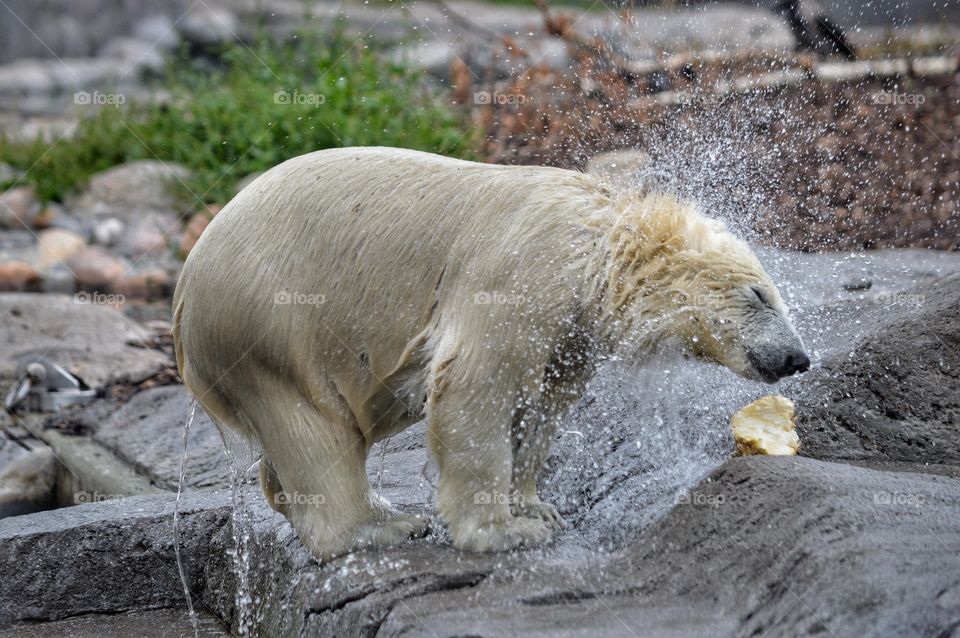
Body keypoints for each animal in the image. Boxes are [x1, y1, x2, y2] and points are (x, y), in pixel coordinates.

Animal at [173, 146, 809, 561]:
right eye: (761, 294)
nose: (799, 358)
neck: (598, 245)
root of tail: (182, 296)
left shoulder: (570, 330)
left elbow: (541, 405)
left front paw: (536, 508)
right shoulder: (524, 270)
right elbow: (476, 385)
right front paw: (503, 533)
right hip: (266, 323)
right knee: (314, 427)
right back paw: (383, 526)